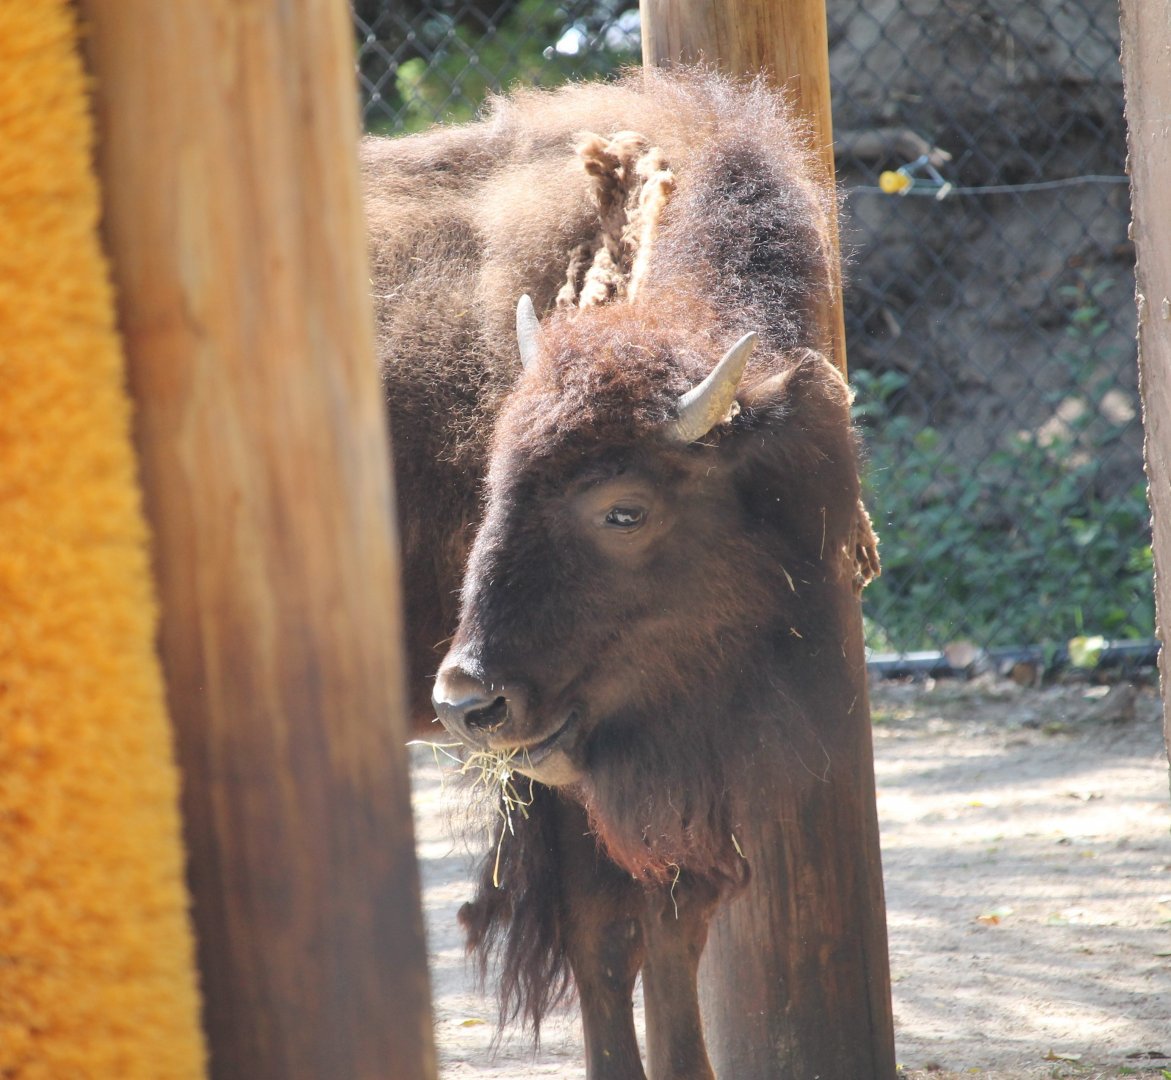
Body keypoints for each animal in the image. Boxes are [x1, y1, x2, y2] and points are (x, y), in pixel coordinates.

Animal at [363, 69, 880, 1079]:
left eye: (623, 509)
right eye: (488, 481)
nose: (466, 703)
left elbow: (672, 930)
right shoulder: (562, 770)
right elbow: (602, 938)